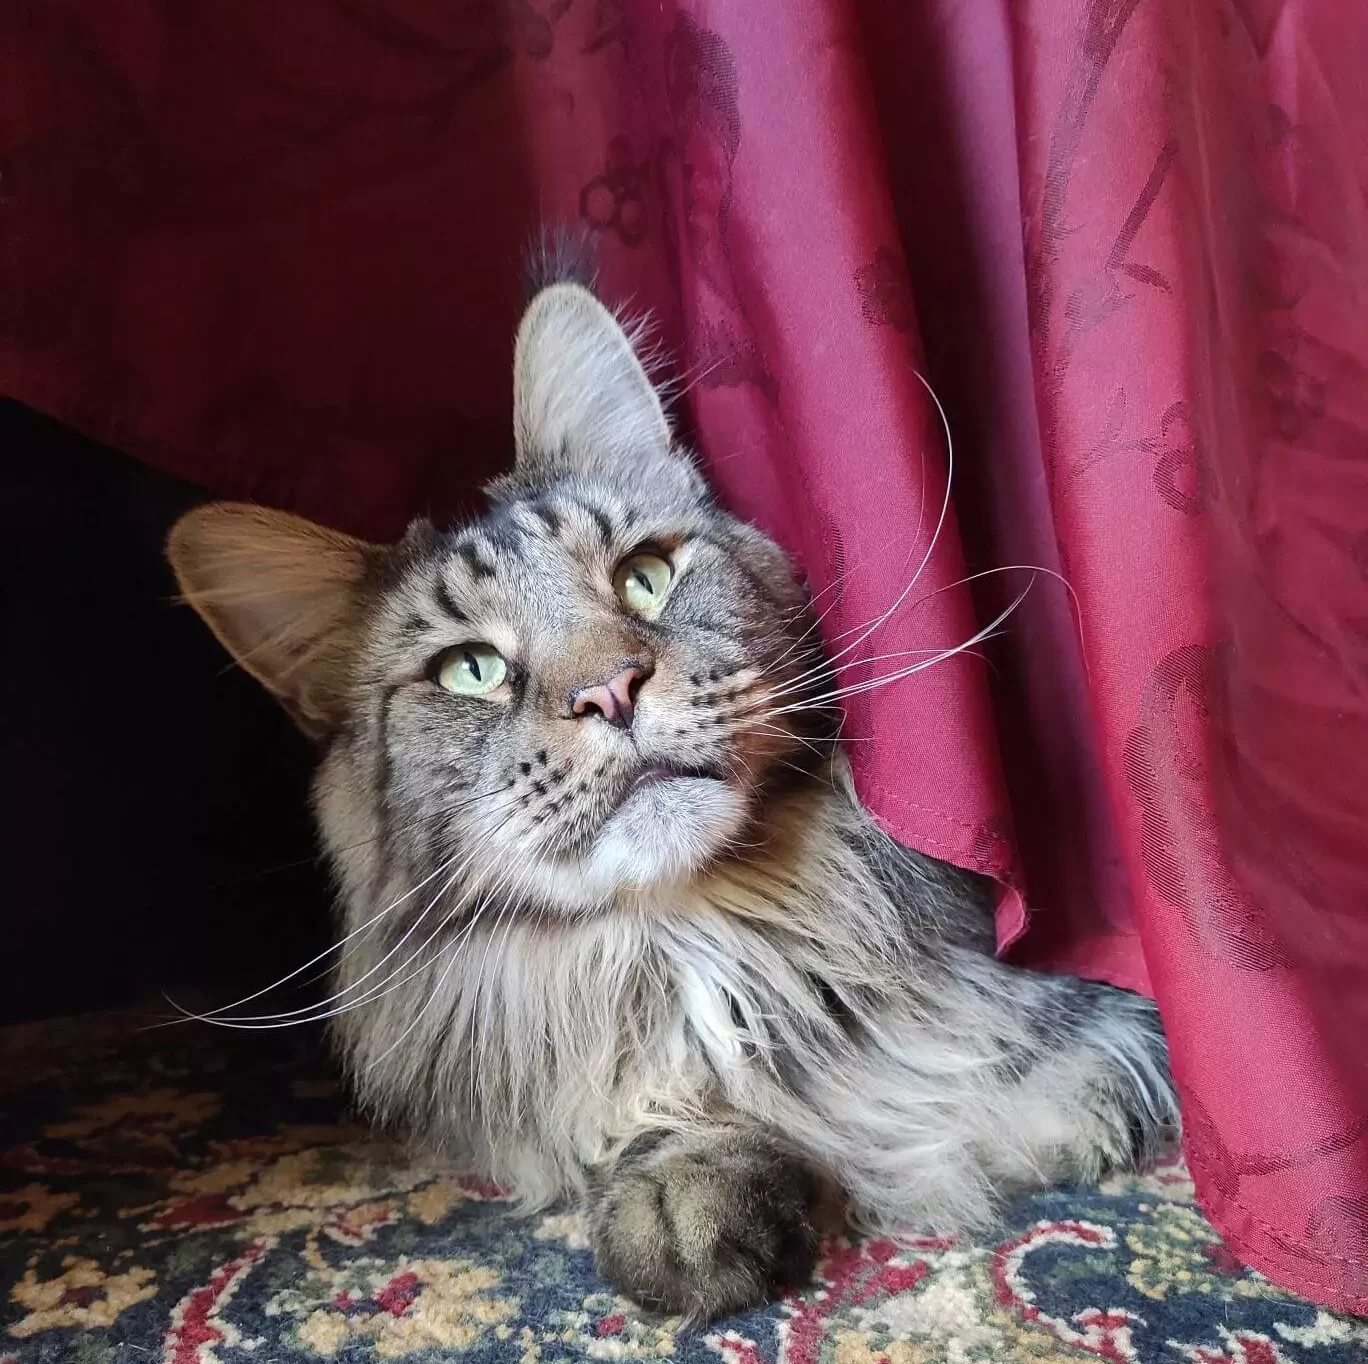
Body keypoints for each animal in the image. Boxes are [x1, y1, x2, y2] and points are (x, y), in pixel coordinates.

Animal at [168, 236, 1176, 1318]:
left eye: (644, 576)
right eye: (470, 670)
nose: (610, 690)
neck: (705, 937)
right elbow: (660, 1117)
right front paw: (684, 1191)